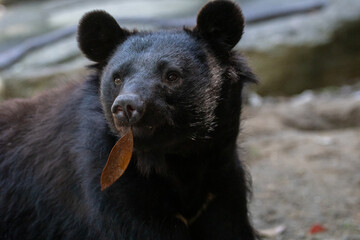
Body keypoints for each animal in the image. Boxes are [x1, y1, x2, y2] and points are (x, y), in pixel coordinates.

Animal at [0, 0, 258, 239]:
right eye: (117, 78)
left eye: (172, 76)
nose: (126, 106)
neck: (176, 158)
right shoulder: (108, 182)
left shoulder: (222, 183)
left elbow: (229, 227)